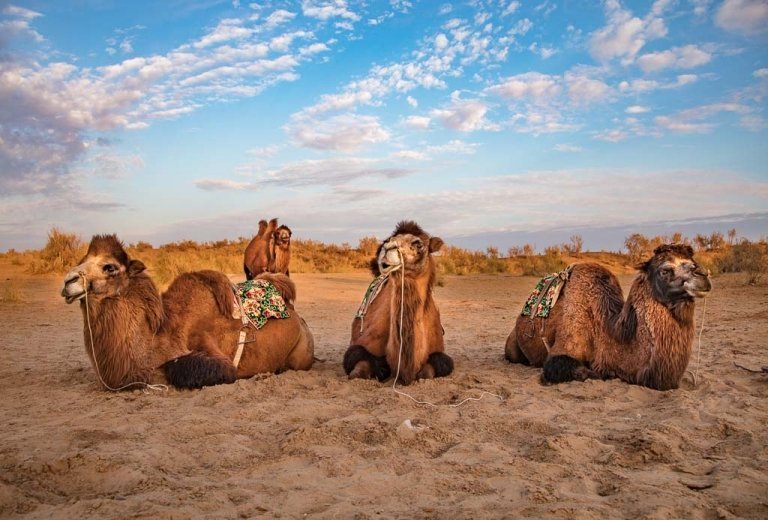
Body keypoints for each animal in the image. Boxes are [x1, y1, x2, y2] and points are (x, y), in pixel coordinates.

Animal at [60, 235, 316, 390]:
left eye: (110, 267)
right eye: (82, 260)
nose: (68, 282)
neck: (158, 336)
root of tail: (299, 318)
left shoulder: (213, 355)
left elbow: (187, 369)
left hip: (301, 354)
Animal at [340, 220, 450, 386]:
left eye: (418, 244)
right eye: (389, 240)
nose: (387, 248)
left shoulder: (439, 356)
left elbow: (427, 373)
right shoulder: (359, 349)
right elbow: (357, 370)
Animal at [504, 245, 712, 390]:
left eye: (691, 260)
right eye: (665, 270)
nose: (703, 274)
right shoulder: (562, 351)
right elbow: (589, 372)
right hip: (512, 347)